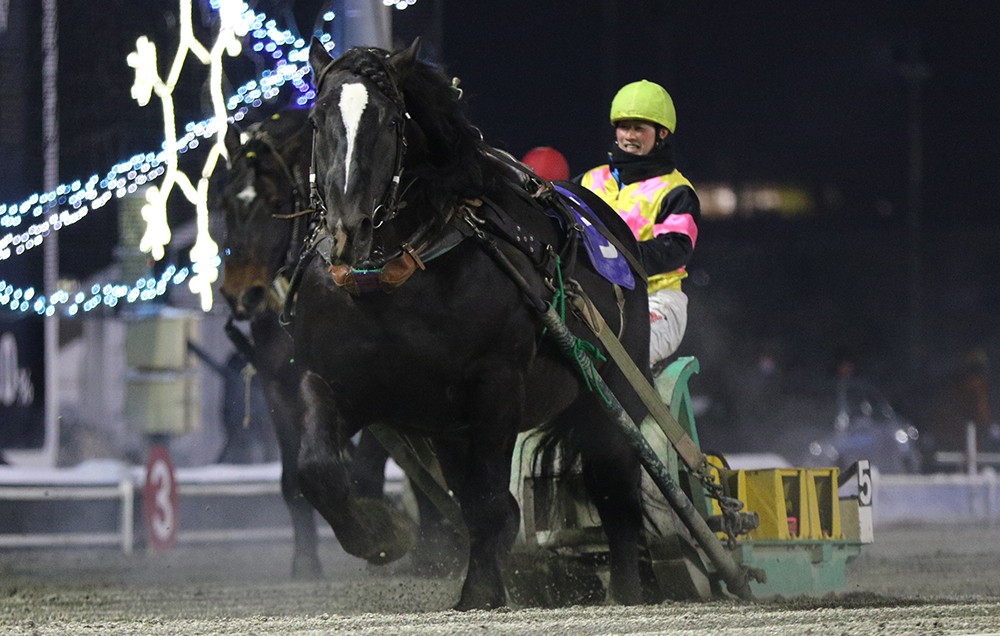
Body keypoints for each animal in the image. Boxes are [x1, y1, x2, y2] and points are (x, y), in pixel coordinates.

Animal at [296, 41, 652, 612]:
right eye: (316, 118)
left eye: (391, 121)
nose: (349, 230)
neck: (391, 283)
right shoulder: (334, 379)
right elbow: (316, 470)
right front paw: (382, 534)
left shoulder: (496, 386)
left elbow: (487, 502)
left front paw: (480, 591)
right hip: (451, 431)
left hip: (611, 392)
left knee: (614, 486)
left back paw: (626, 592)